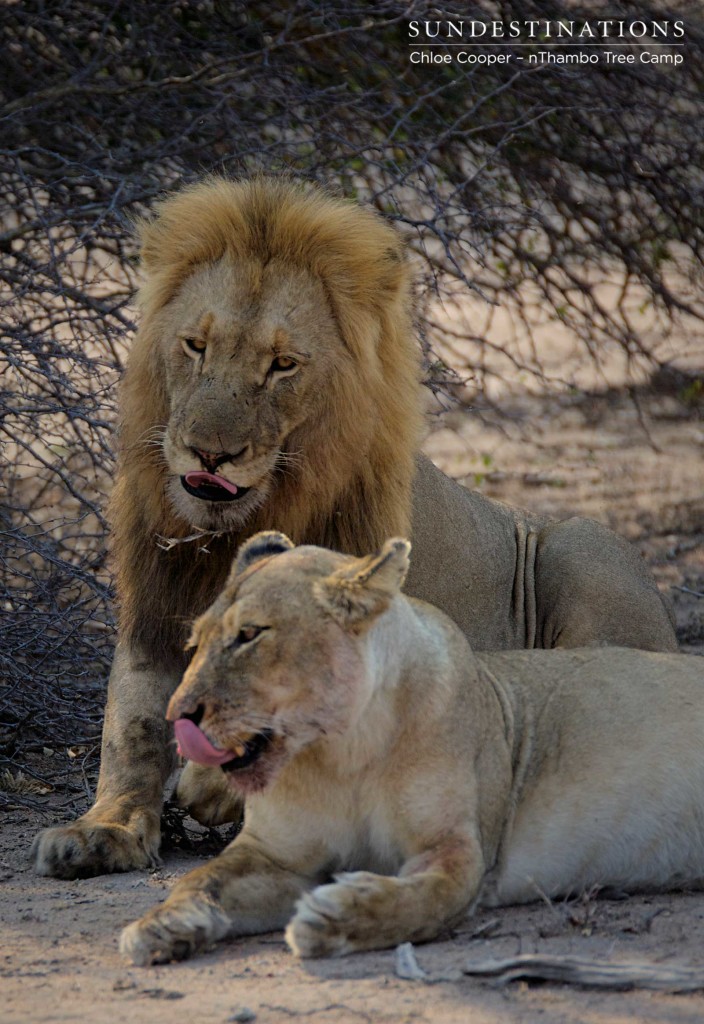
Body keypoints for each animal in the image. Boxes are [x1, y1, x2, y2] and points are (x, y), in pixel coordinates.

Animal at [31, 176, 675, 880]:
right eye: (195, 346)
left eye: (282, 364)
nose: (208, 454)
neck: (233, 532)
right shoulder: (155, 610)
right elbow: (131, 729)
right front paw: (104, 829)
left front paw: (216, 781)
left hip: (586, 546)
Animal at [120, 532, 704, 962]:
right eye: (195, 642)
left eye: (250, 635)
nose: (177, 716)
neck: (341, 754)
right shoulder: (275, 854)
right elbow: (204, 878)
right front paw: (163, 923)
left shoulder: (458, 848)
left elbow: (423, 898)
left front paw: (333, 916)